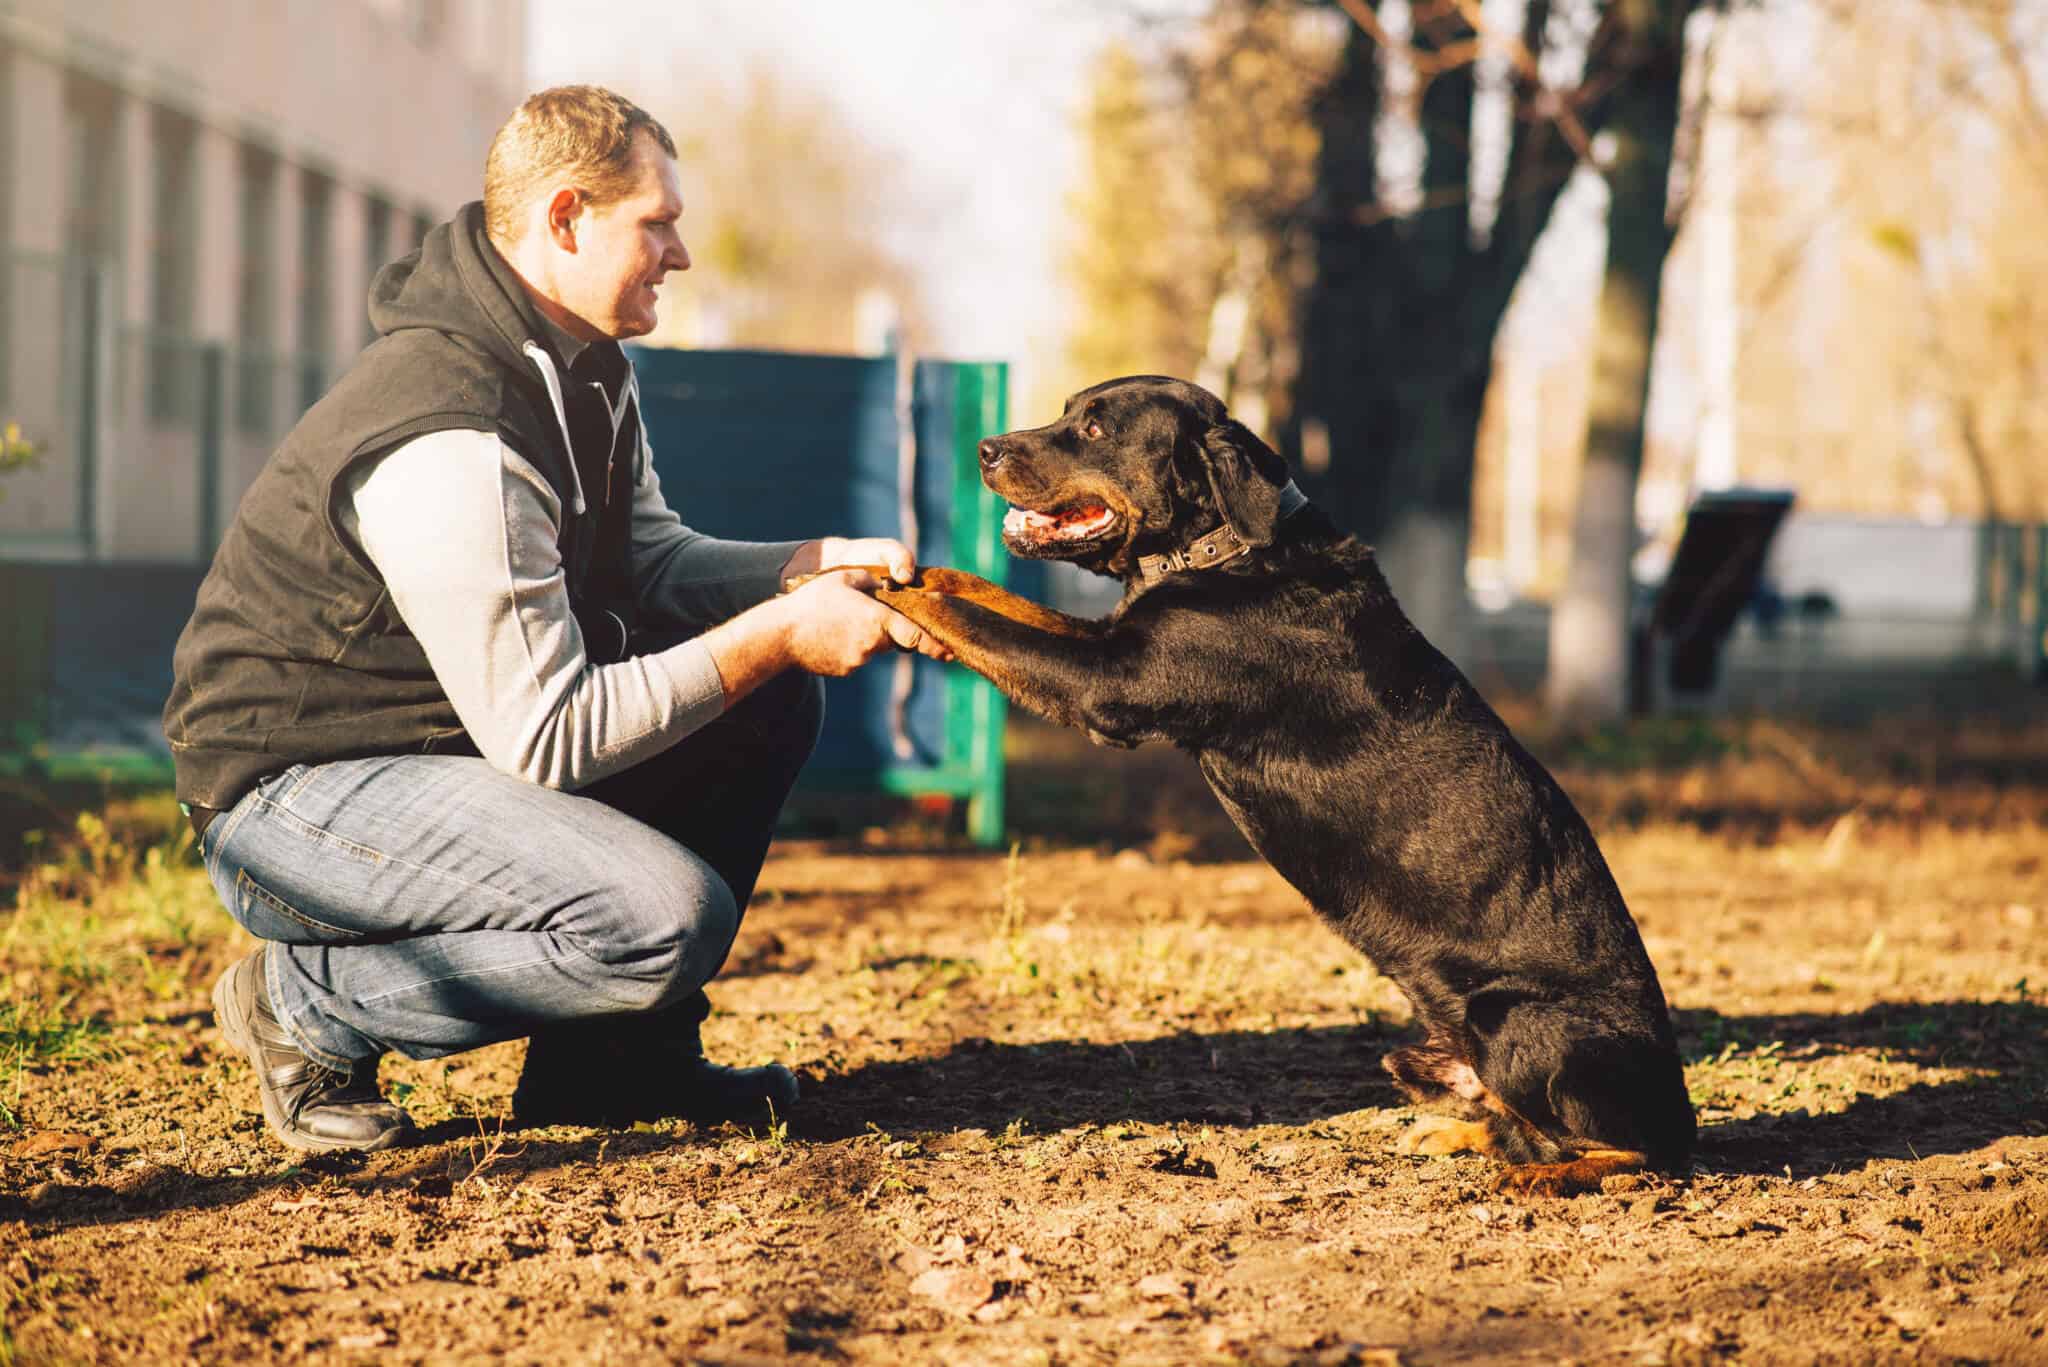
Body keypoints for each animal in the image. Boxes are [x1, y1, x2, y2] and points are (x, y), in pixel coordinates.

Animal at [872, 377, 1703, 1196]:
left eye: (1098, 430)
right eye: (1068, 412)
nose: (987, 448)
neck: (1224, 549)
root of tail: (1680, 1109)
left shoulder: (1105, 683)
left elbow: (983, 624)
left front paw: (878, 587)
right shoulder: (1112, 644)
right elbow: (994, 600)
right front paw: (909, 567)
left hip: (1514, 1020)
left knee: (1634, 1153)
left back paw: (1543, 1175)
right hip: (1416, 1054)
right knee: (1524, 1126)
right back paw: (1459, 1136)